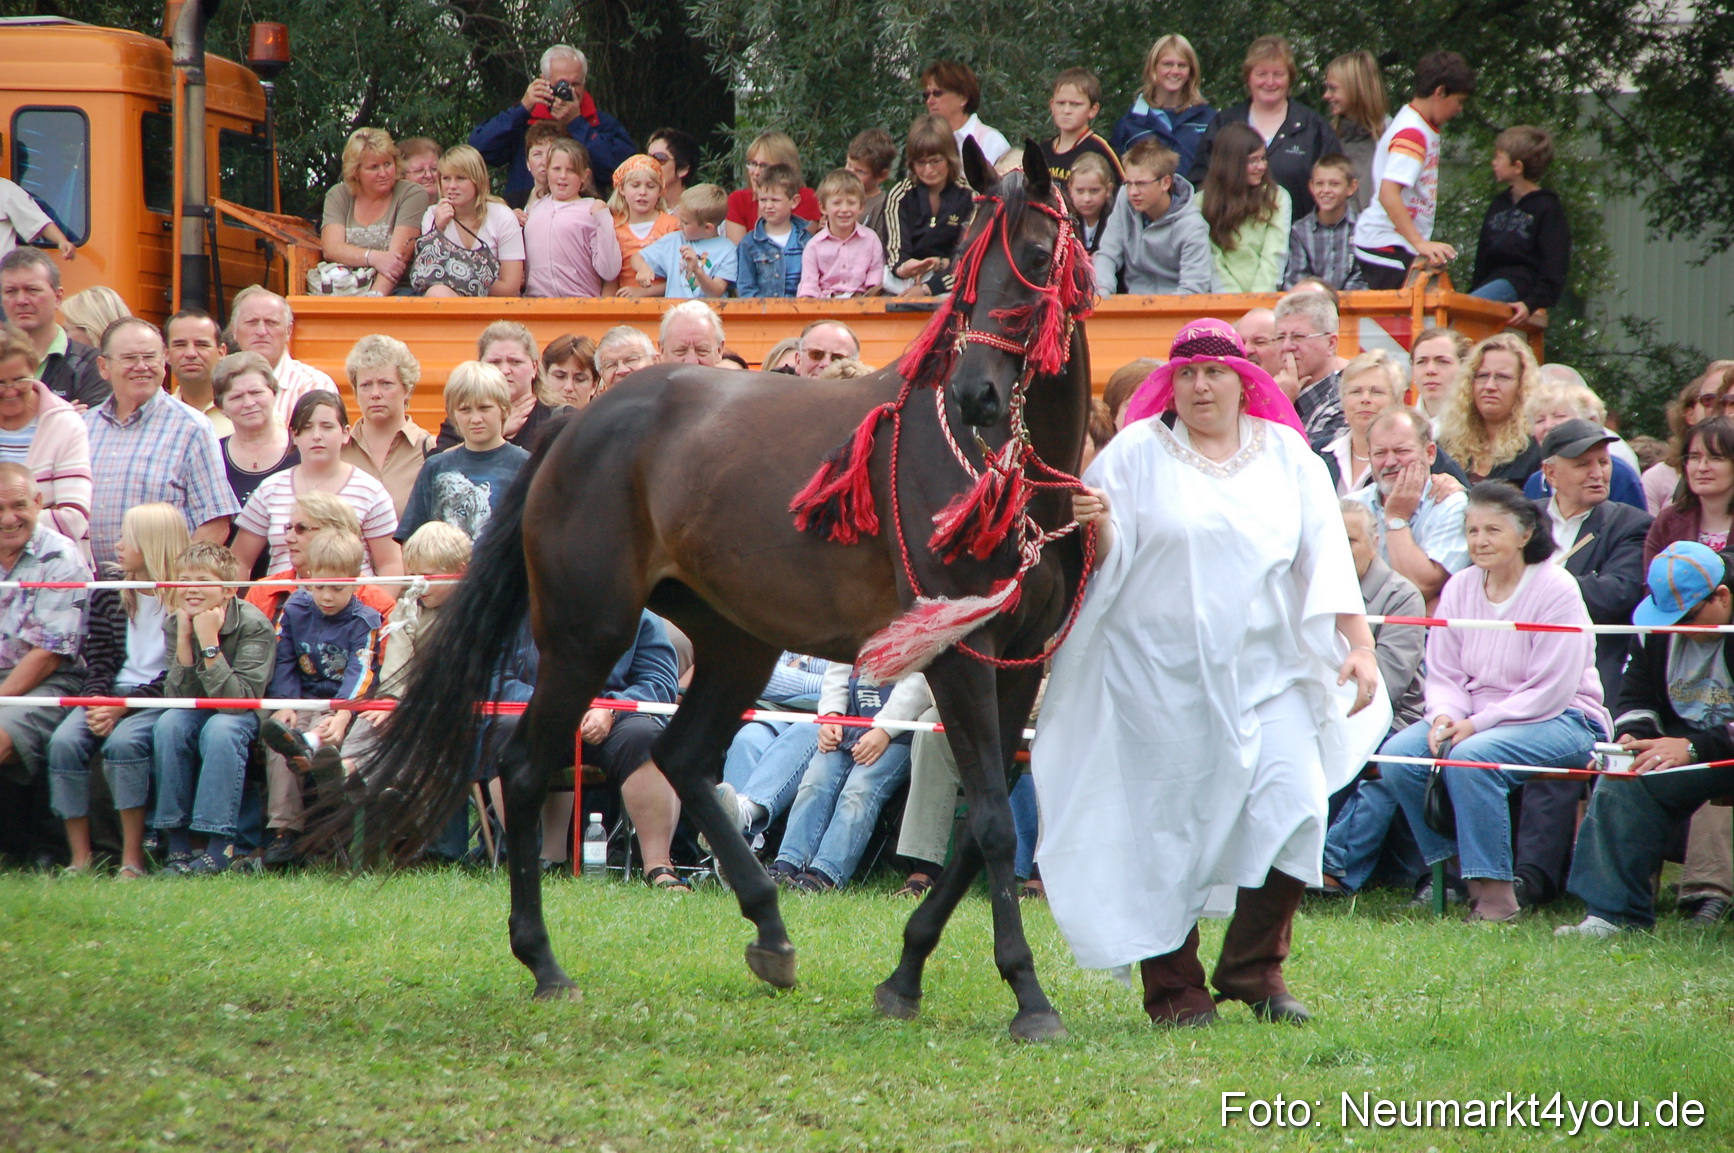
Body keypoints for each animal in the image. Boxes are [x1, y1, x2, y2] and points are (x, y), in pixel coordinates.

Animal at [327, 139, 1097, 1041]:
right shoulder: (960, 657)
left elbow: (978, 827)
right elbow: (995, 826)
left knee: (680, 757)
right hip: (588, 635)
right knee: (525, 766)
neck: (999, 477)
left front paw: (906, 973)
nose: (976, 393)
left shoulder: (1017, 665)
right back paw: (544, 960)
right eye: (965, 266)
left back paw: (768, 927)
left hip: (736, 641)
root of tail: (575, 425)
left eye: (1038, 256)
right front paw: (1027, 992)